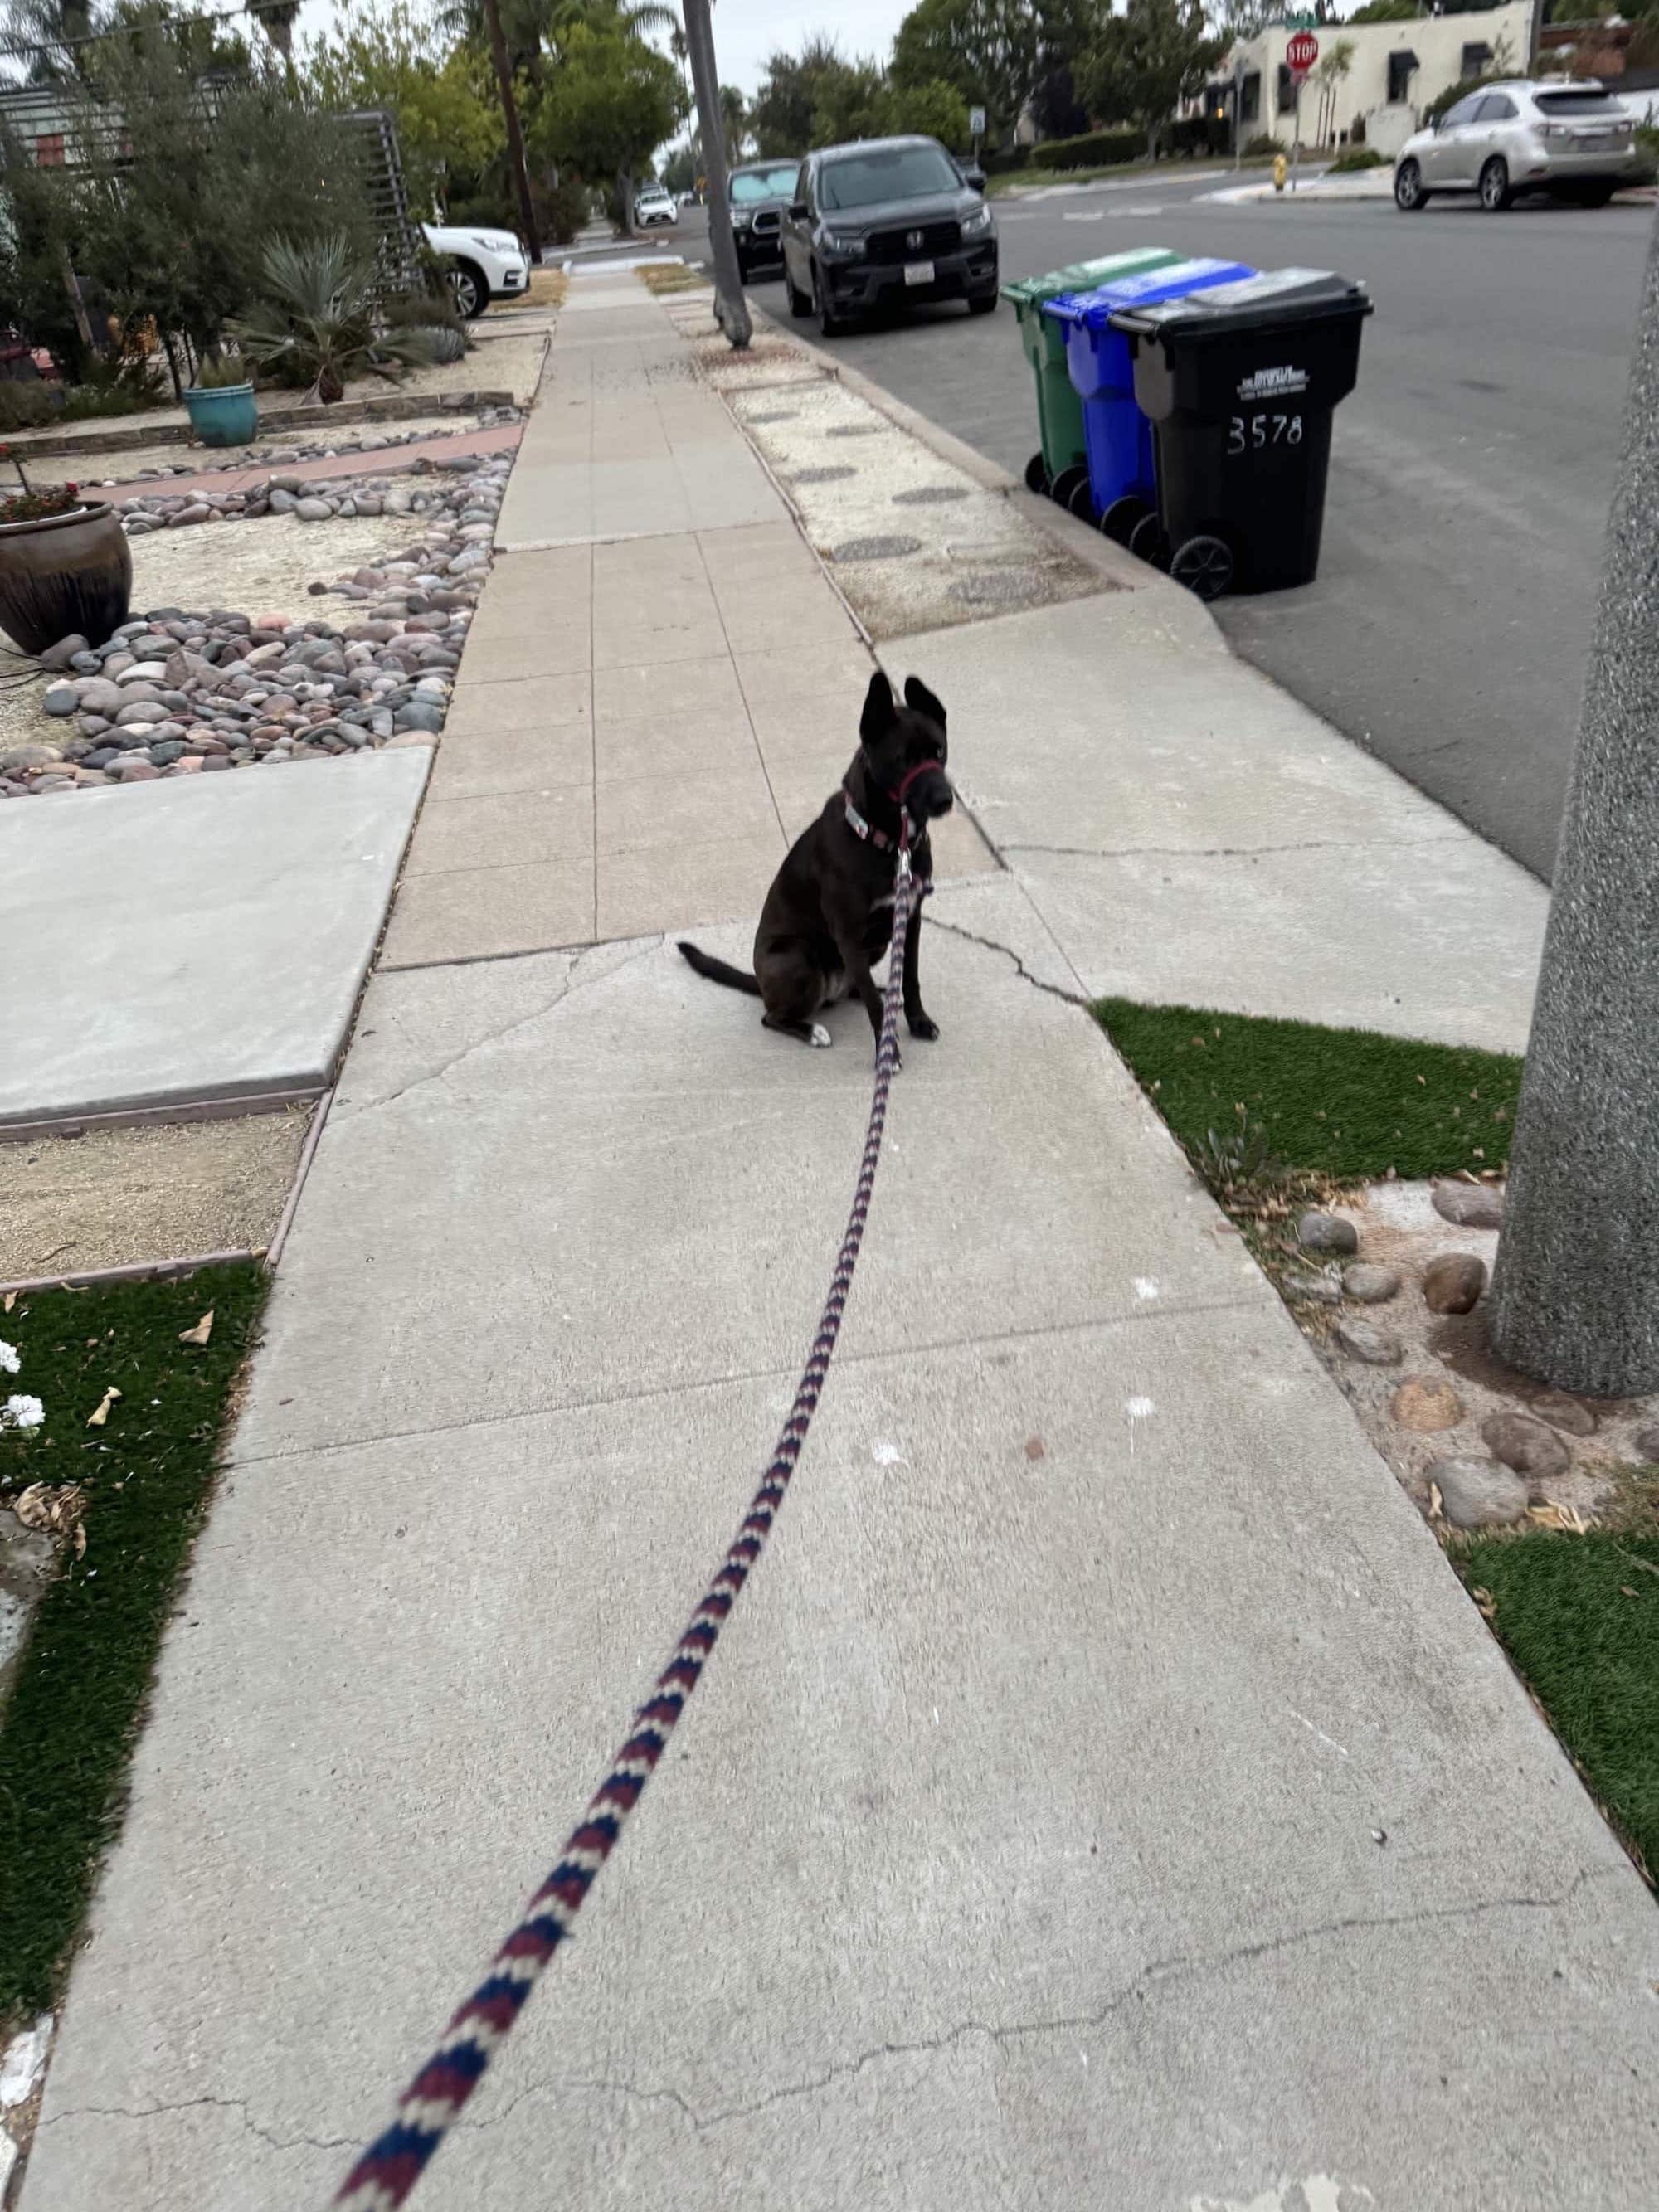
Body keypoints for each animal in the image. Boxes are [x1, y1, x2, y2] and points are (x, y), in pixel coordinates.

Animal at [681, 668, 956, 1048]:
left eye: (939, 751)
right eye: (903, 759)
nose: (946, 799)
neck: (884, 840)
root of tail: (761, 985)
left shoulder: (911, 917)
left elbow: (909, 979)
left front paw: (918, 1021)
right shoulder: (849, 934)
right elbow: (874, 1007)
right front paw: (888, 1052)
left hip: (874, 947)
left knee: (859, 988)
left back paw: (883, 994)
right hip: (799, 958)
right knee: (772, 1017)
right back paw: (811, 1030)